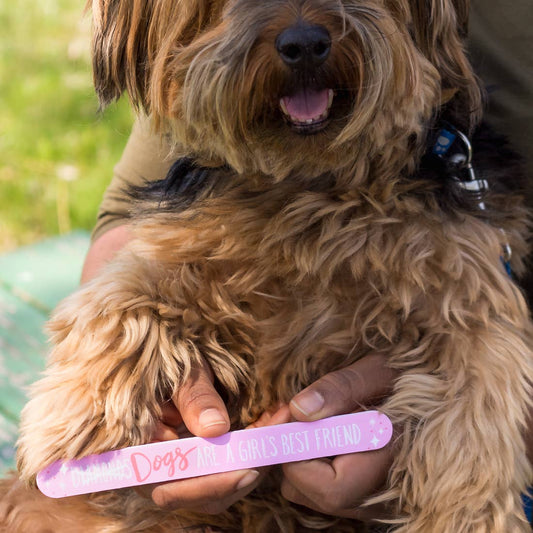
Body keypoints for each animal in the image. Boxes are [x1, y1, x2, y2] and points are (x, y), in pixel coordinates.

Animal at [1, 0, 532, 528]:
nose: (305, 44)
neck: (314, 182)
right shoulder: (178, 250)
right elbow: (120, 302)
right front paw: (68, 419)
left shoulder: (468, 295)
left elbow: (476, 417)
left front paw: (467, 515)